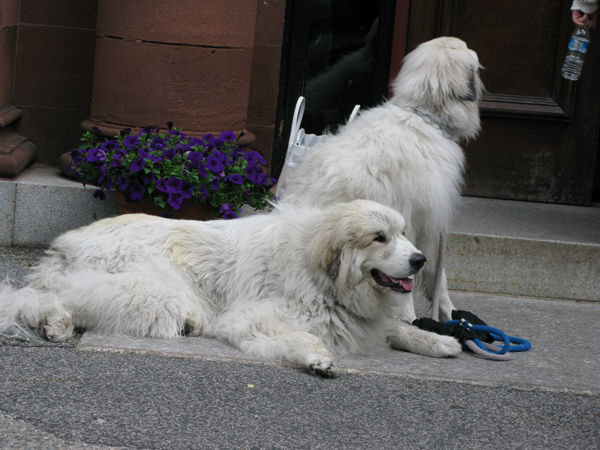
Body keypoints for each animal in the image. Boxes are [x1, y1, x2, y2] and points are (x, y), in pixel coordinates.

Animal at [0, 200, 460, 376]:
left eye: (403, 234)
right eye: (380, 238)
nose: (420, 260)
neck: (316, 264)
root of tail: (67, 243)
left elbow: (396, 328)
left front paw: (437, 340)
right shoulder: (251, 317)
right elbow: (303, 336)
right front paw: (318, 359)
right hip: (154, 293)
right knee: (52, 297)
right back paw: (57, 323)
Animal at [282, 36, 482, 330]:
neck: (421, 115)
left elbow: (436, 278)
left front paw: (452, 317)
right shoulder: (420, 223)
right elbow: (421, 276)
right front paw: (423, 319)